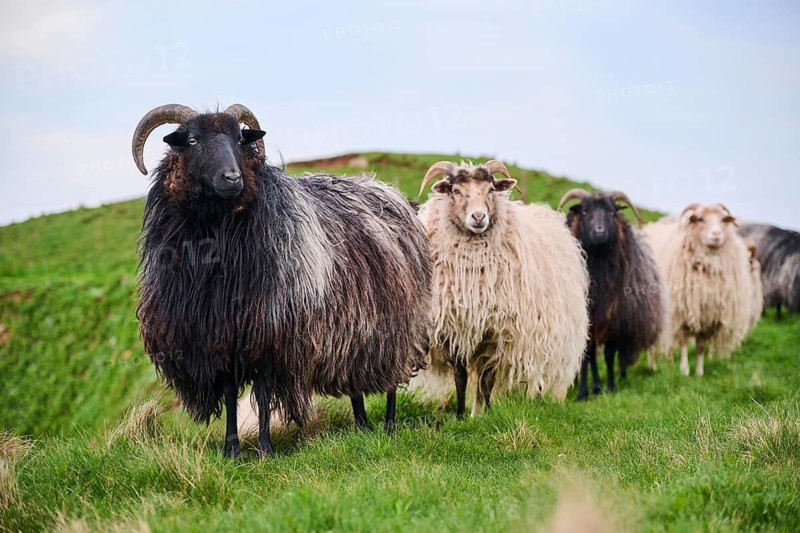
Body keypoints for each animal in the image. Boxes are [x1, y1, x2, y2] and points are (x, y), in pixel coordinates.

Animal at [131, 103, 431, 457]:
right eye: (192, 140)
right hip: (353, 325)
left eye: (239, 139)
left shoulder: (272, 335)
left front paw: (264, 448)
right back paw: (362, 425)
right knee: (355, 379)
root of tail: (389, 191)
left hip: (397, 323)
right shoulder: (221, 334)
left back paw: (389, 424)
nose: (232, 178)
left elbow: (262, 396)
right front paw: (232, 449)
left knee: (393, 377)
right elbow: (230, 394)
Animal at [413, 160, 589, 417]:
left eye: (490, 190)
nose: (478, 217)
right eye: (455, 191)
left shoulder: (500, 332)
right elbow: (461, 377)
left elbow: (487, 379)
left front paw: (483, 415)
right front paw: (461, 415)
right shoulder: (456, 328)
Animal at [557, 189, 665, 400]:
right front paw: (583, 392)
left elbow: (608, 356)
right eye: (584, 212)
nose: (599, 233)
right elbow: (587, 357)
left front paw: (611, 387)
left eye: (612, 212)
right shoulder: (589, 321)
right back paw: (594, 386)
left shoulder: (616, 321)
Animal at [642, 204, 752, 376]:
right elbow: (684, 343)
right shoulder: (680, 314)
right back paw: (652, 366)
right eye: (700, 219)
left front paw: (699, 373)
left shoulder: (708, 317)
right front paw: (684, 370)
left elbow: (701, 347)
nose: (716, 234)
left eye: (723, 219)